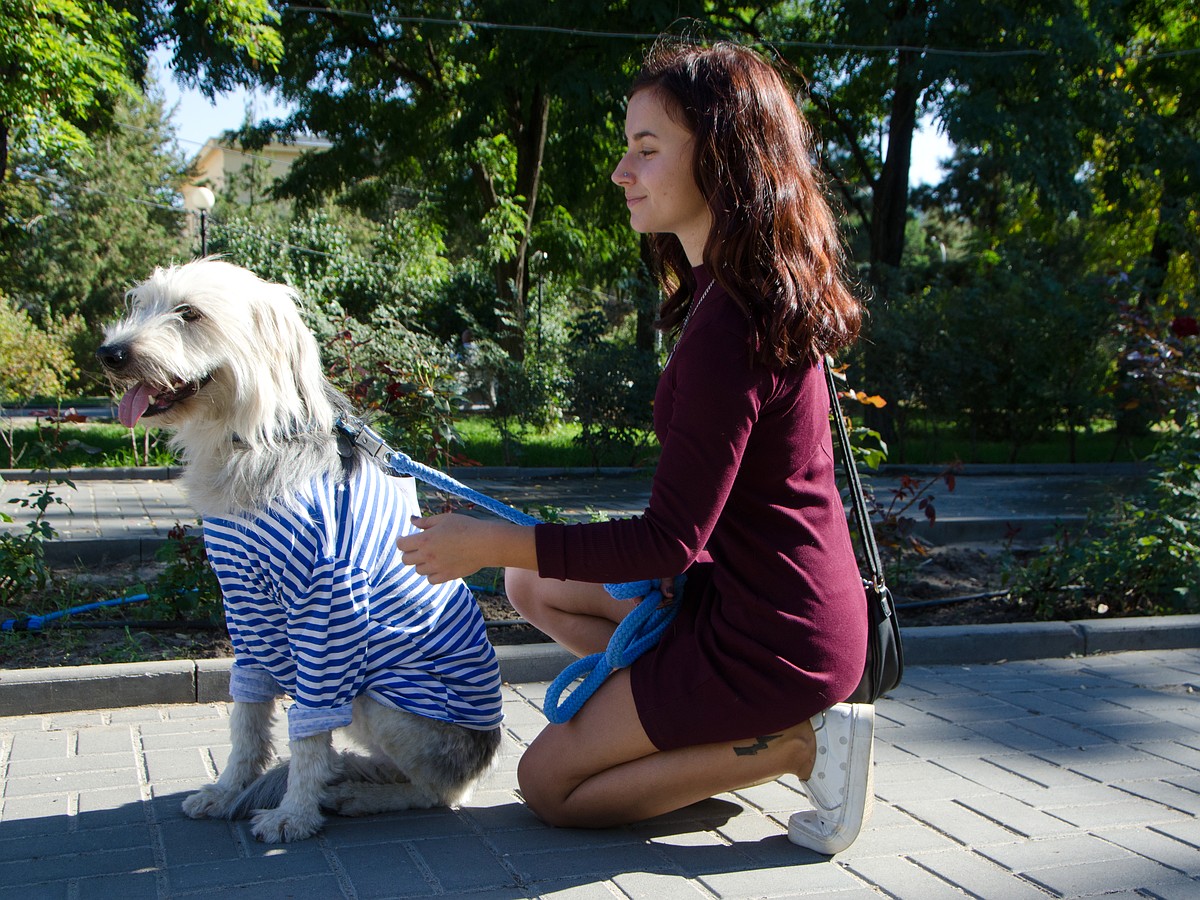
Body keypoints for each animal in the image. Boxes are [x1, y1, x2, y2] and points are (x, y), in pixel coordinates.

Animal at [97, 260, 501, 844]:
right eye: (142, 304)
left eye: (189, 313)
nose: (111, 353)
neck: (249, 439)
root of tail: (486, 756)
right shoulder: (243, 606)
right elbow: (246, 715)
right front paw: (228, 791)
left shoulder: (326, 608)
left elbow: (308, 728)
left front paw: (294, 813)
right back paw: (353, 772)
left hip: (383, 697)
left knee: (439, 792)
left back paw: (359, 794)